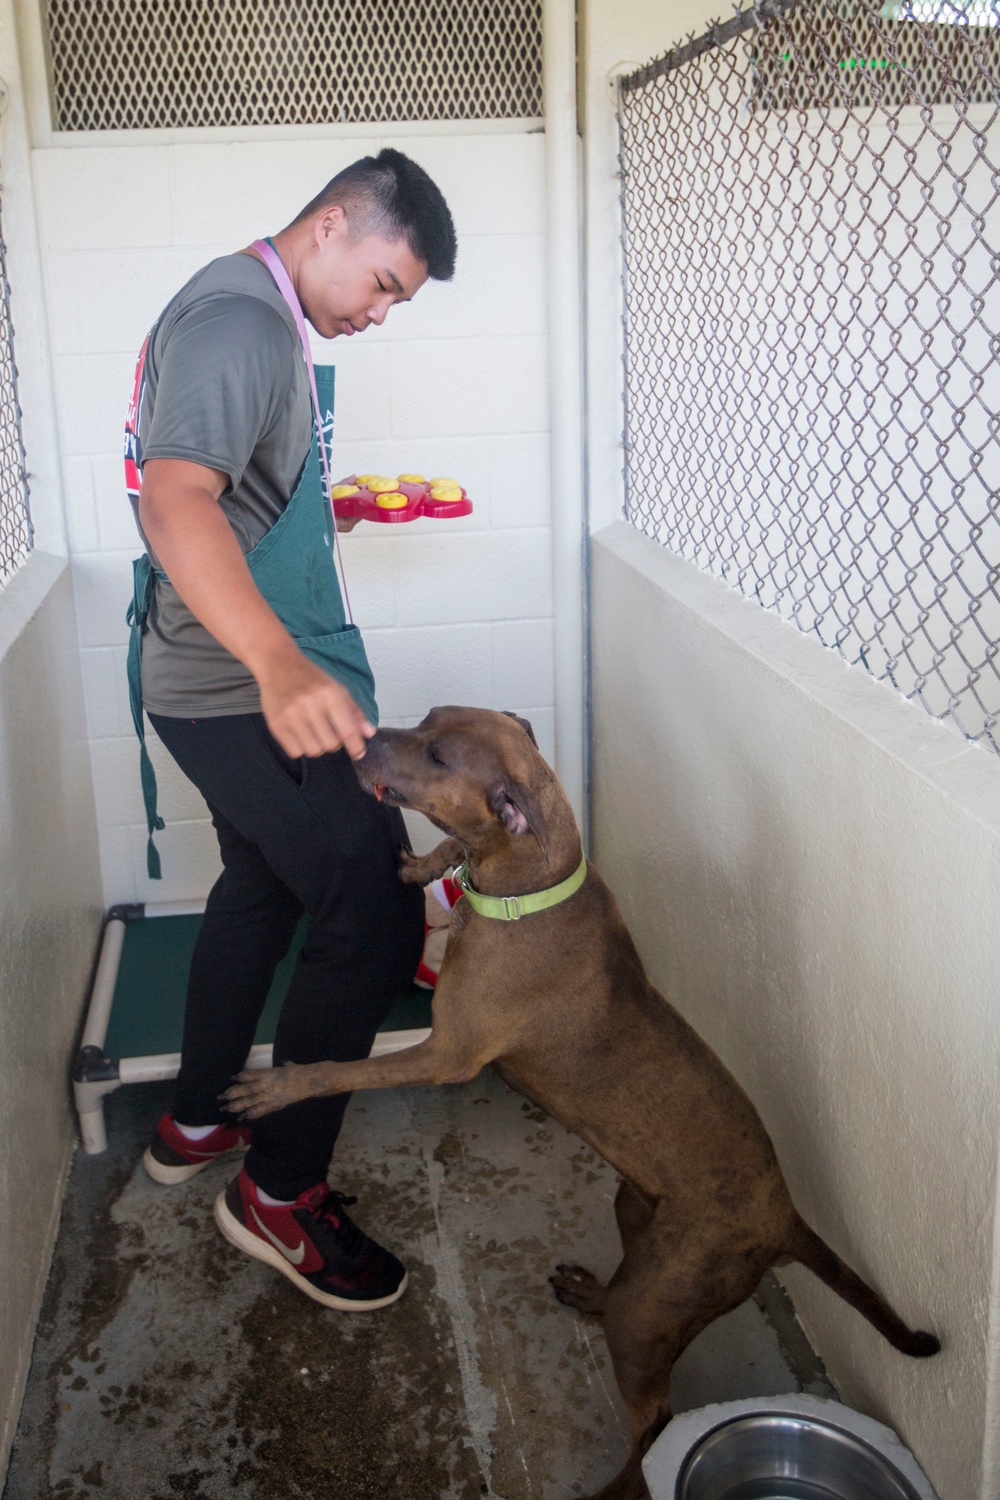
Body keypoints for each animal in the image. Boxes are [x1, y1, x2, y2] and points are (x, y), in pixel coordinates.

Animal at [223, 705, 941, 1500]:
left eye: (437, 754)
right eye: (428, 718)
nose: (357, 732)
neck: (525, 888)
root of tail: (785, 1217)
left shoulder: (446, 1054)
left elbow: (340, 1069)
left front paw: (280, 1084)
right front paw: (426, 863)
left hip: (662, 1297)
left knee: (655, 1419)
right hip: (638, 1221)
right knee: (626, 1305)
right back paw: (592, 1293)